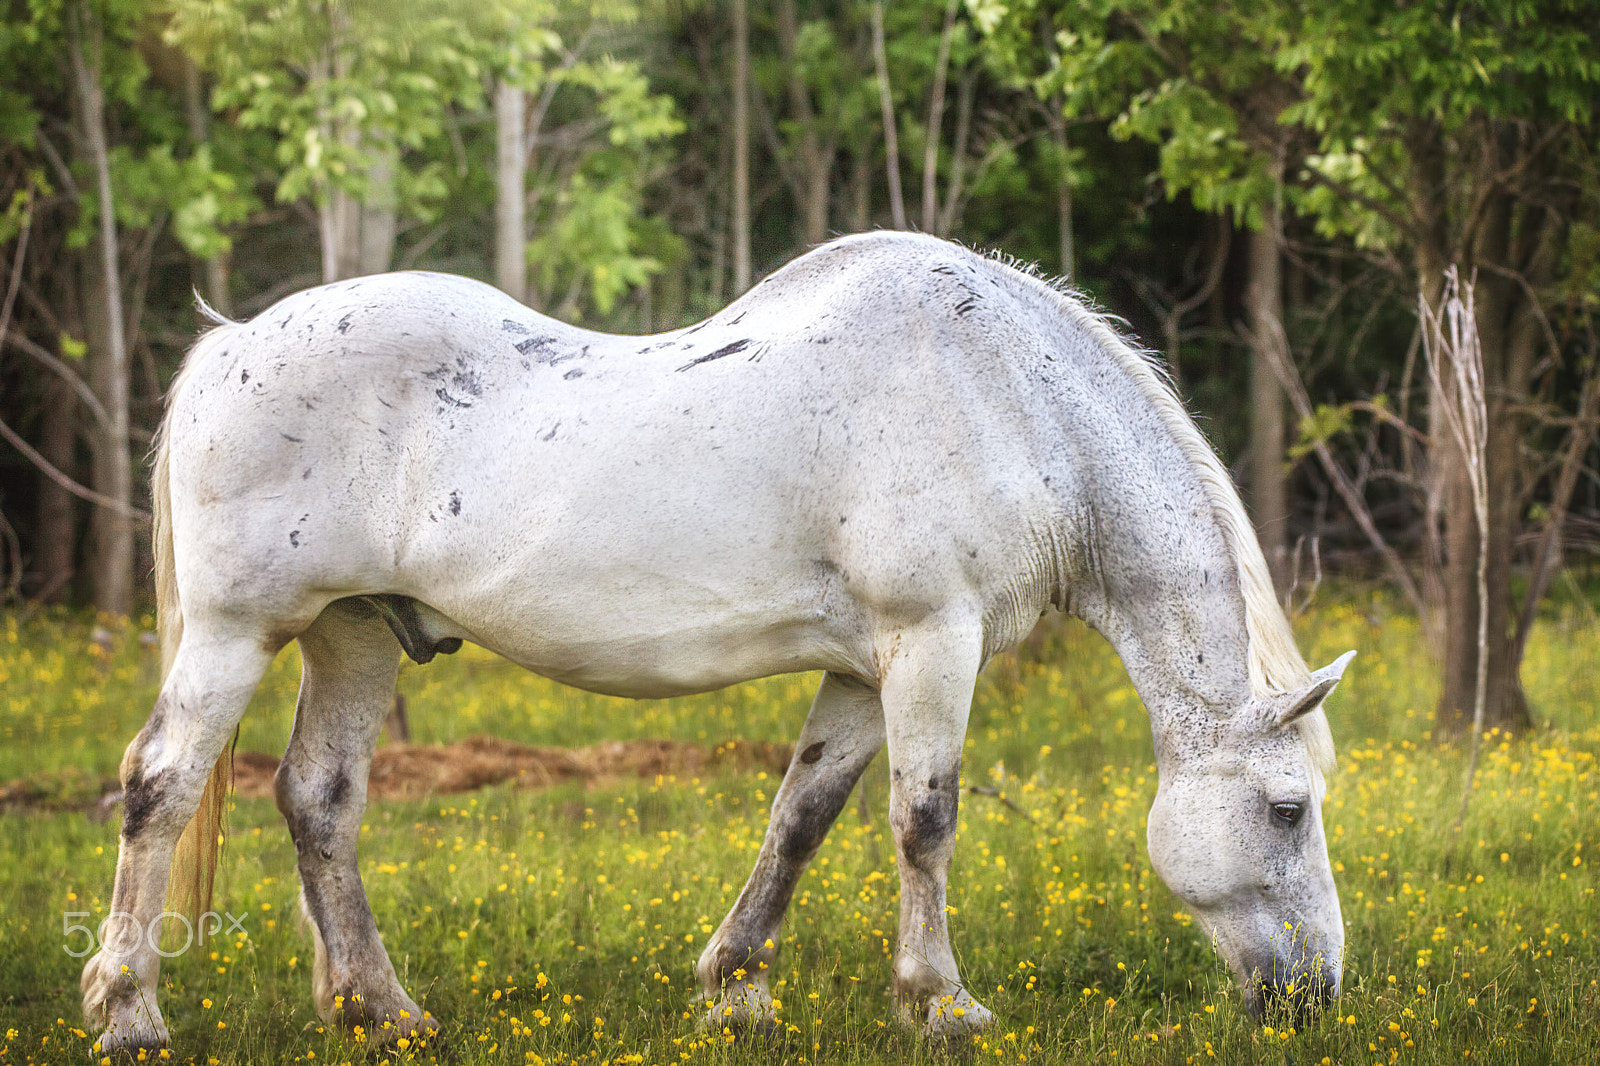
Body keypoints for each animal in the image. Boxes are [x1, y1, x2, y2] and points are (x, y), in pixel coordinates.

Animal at [82, 231, 1351, 1054]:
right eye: (1287, 808)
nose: (1319, 995)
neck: (1006, 400)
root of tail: (231, 343)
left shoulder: (860, 668)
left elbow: (803, 816)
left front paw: (736, 989)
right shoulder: (932, 642)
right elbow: (924, 821)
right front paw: (940, 1003)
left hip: (354, 634)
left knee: (319, 800)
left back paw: (380, 1012)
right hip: (239, 634)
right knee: (159, 787)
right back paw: (130, 1012)